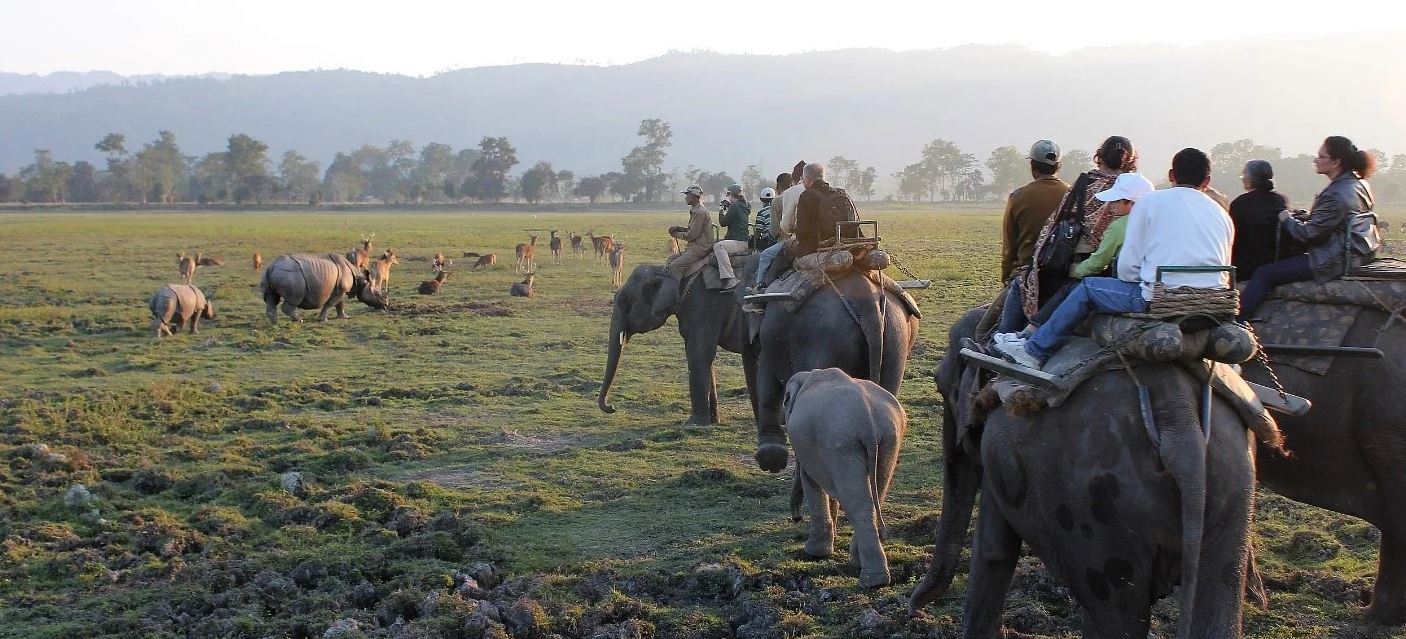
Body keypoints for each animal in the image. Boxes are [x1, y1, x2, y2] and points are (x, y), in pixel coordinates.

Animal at [783, 368, 907, 588]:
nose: (796, 518)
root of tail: (868, 421)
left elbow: (811, 482)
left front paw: (814, 553)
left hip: (841, 443)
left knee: (859, 505)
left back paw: (872, 581)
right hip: (889, 440)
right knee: (874, 495)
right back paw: (861, 566)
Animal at [910, 307, 1258, 638]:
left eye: (941, 386)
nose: (916, 610)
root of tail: (1179, 420)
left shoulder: (996, 450)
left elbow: (995, 550)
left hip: (1095, 518)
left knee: (1114, 615)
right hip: (1231, 489)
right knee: (1217, 598)